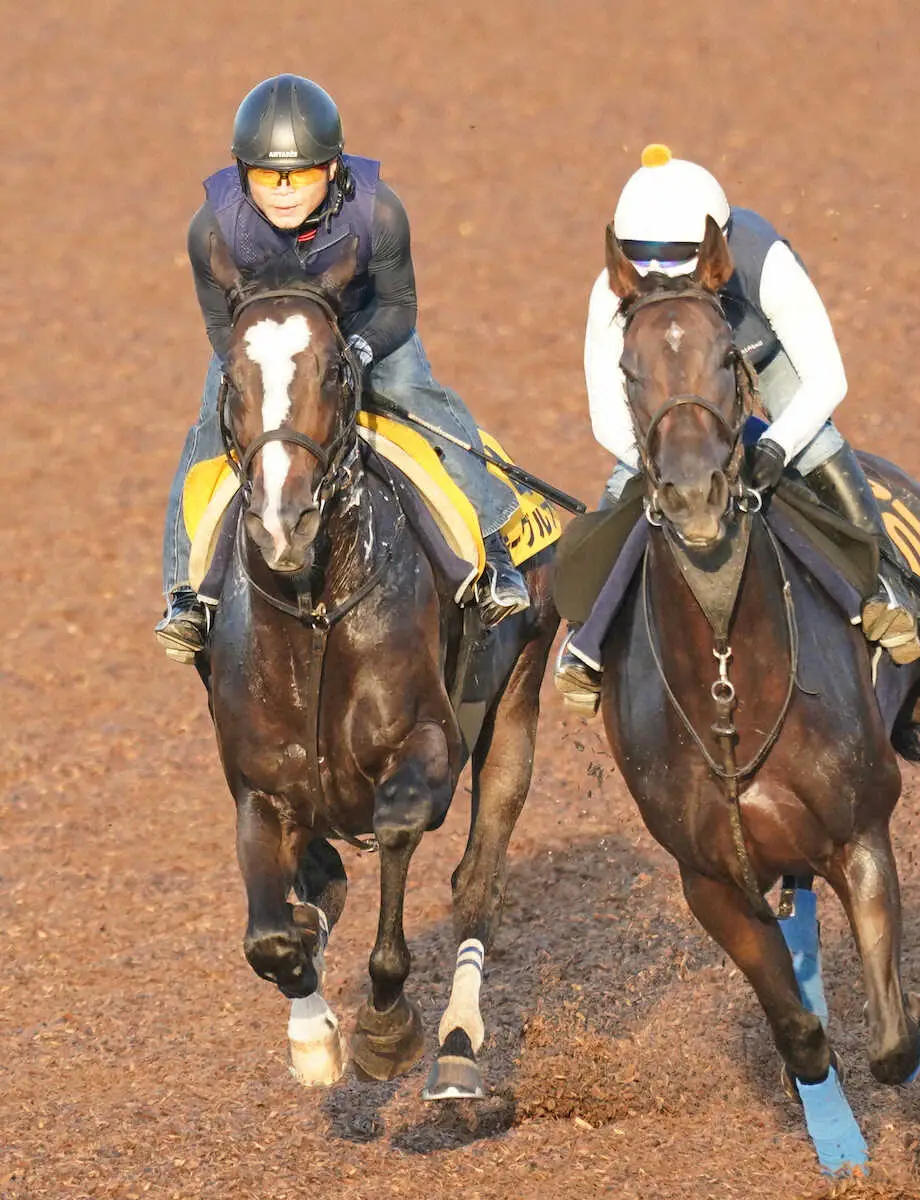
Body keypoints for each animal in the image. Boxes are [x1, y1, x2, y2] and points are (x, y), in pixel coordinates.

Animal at [199, 234, 556, 1099]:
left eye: (335, 369)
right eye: (233, 377)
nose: (283, 518)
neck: (315, 610)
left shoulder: (425, 742)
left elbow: (399, 823)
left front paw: (386, 1025)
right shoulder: (260, 787)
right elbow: (272, 936)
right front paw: (312, 1032)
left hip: (518, 702)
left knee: (476, 884)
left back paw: (457, 1047)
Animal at [594, 218, 920, 1099]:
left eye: (725, 356)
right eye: (628, 368)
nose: (695, 497)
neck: (729, 673)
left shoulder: (861, 834)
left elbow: (894, 1047)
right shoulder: (710, 880)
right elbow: (803, 1037)